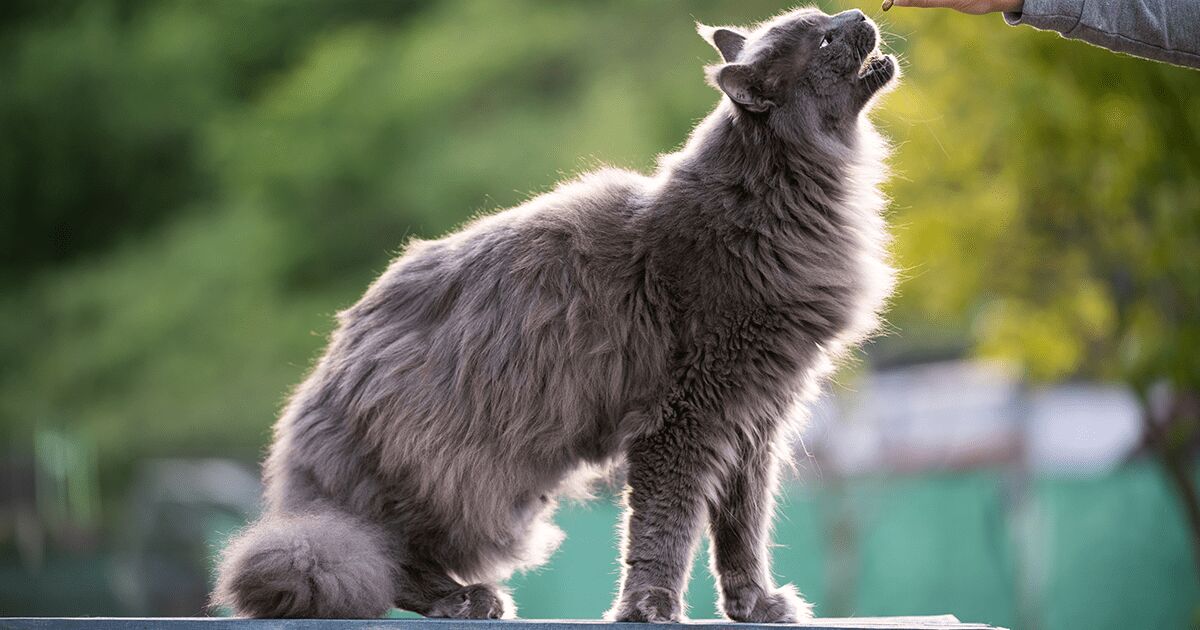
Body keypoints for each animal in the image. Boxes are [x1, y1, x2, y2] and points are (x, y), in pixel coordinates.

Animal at [216, 4, 897, 619]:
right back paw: (463, 600)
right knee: (388, 558)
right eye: (826, 37)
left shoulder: (755, 421)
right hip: (461, 478)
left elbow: (742, 532)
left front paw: (756, 605)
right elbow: (666, 527)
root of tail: (320, 393)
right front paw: (650, 608)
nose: (862, 14)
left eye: (830, 16)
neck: (778, 195)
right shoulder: (687, 418)